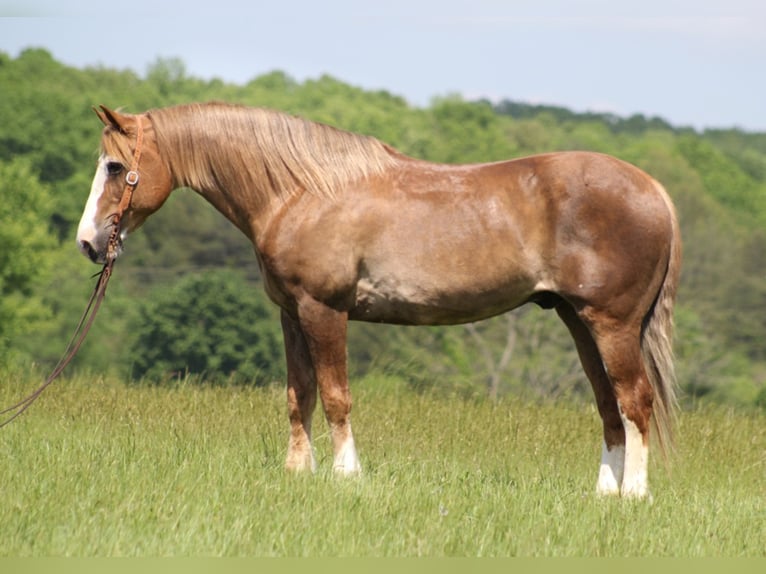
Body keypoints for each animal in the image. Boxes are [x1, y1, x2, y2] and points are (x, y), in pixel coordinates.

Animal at [76, 103, 684, 500]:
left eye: (114, 167)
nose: (88, 243)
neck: (302, 193)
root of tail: (655, 190)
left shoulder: (324, 310)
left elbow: (336, 396)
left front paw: (347, 476)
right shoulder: (290, 313)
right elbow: (299, 395)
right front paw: (298, 474)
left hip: (611, 325)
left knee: (635, 401)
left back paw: (634, 496)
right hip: (579, 323)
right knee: (609, 405)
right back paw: (605, 495)